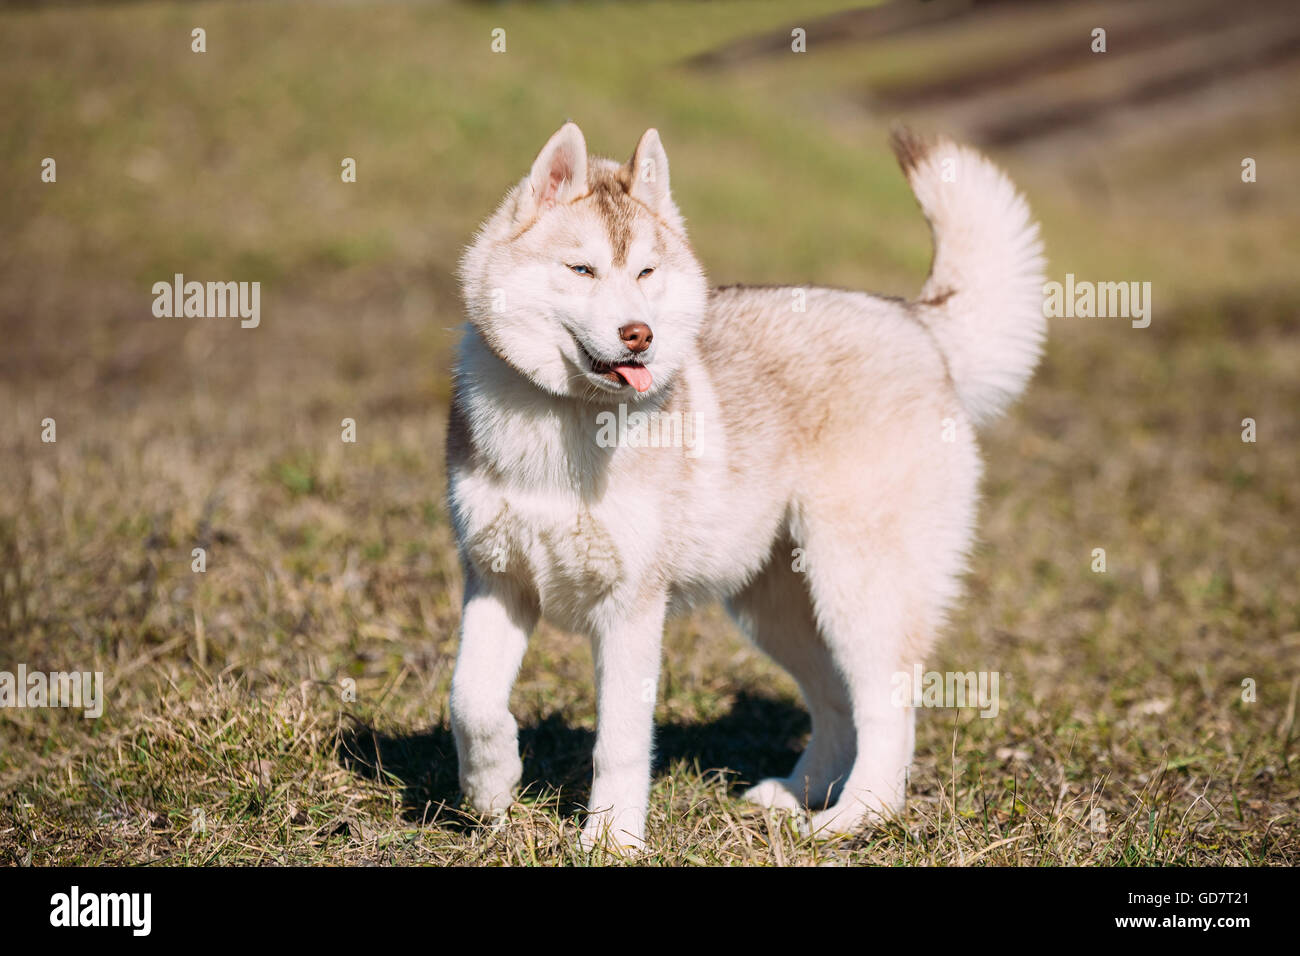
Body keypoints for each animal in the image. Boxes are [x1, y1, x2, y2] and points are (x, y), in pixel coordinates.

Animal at [447, 121, 1045, 853]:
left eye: (646, 272)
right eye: (580, 269)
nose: (639, 336)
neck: (561, 422)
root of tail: (916, 321)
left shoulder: (631, 608)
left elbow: (619, 743)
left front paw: (611, 841)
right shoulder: (496, 579)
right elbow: (471, 701)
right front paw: (491, 792)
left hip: (859, 587)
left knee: (888, 710)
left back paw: (850, 818)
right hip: (777, 606)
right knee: (836, 702)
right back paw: (795, 794)